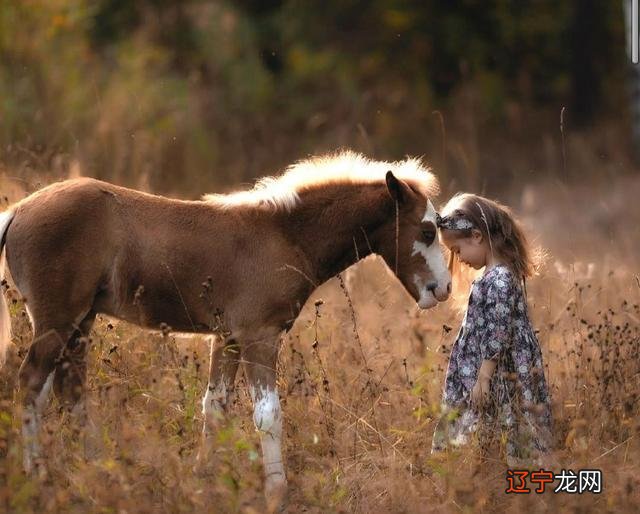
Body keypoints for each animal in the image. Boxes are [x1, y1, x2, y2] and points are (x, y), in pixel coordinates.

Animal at [0, 150, 450, 506]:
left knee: (68, 392)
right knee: (31, 385)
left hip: (80, 323)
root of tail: (18, 210)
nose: (442, 289)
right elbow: (267, 414)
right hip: (57, 321)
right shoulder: (259, 336)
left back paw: (96, 470)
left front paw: (203, 481)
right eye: (427, 231)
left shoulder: (227, 339)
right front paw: (276, 493)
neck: (285, 235)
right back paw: (36, 474)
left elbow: (214, 407)